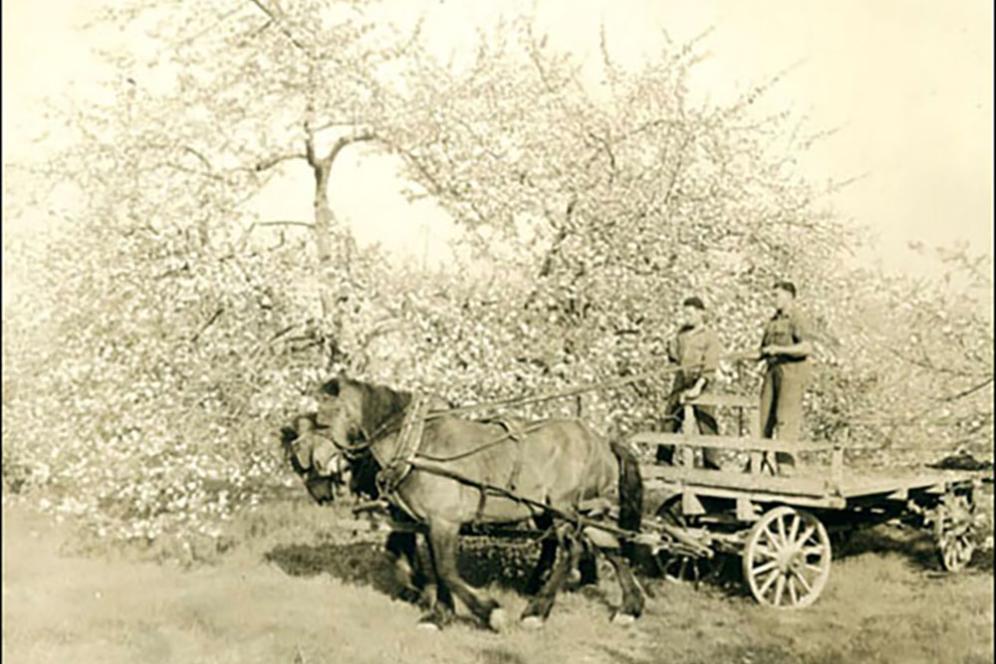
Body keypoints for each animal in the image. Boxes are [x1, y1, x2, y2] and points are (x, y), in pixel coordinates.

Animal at [284, 376, 648, 632]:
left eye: (328, 415)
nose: (317, 462)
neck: (418, 444)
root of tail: (601, 440)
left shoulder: (444, 521)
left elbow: (446, 569)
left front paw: (490, 613)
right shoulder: (427, 523)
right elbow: (435, 567)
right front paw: (438, 614)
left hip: (565, 510)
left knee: (573, 548)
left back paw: (537, 611)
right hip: (585, 510)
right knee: (610, 547)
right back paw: (629, 608)